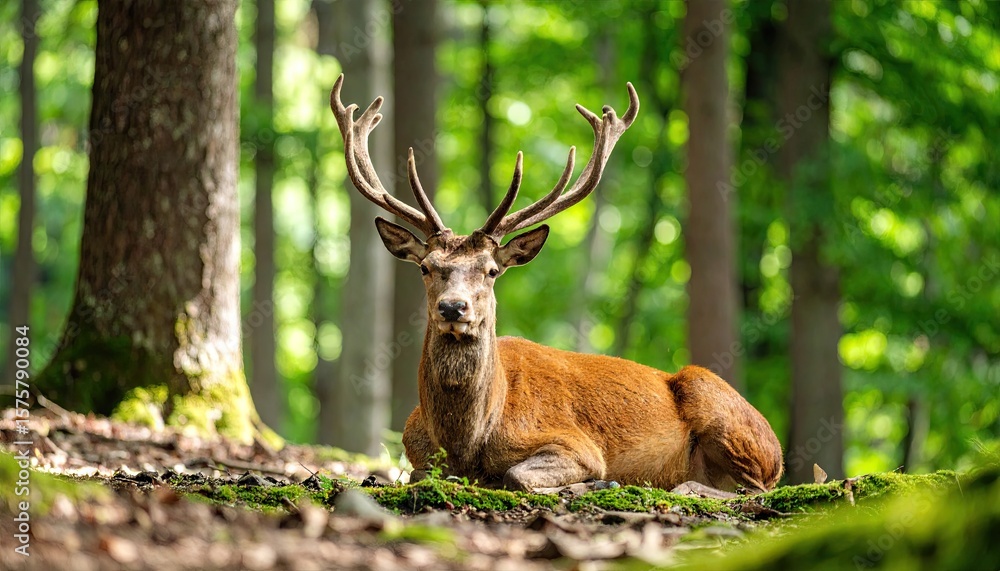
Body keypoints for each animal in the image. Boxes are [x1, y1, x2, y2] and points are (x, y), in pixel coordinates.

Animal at [329, 74, 783, 493]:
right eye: (425, 267)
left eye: (491, 270)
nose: (453, 307)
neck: (465, 444)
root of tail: (776, 449)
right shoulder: (415, 451)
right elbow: (416, 475)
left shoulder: (576, 443)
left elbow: (516, 475)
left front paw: (593, 482)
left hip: (719, 406)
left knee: (751, 487)